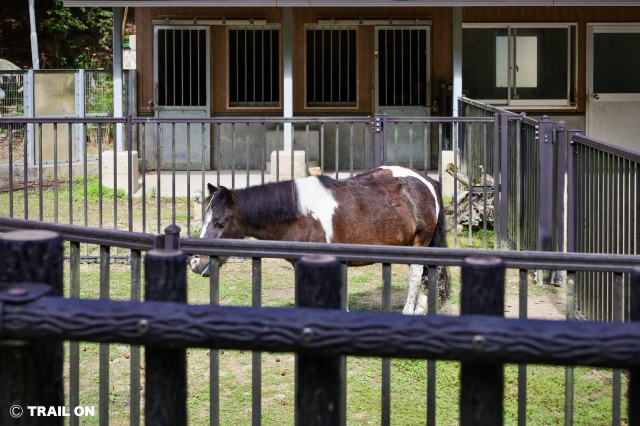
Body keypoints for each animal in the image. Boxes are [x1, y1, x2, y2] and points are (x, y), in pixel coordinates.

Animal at [189, 165, 450, 314]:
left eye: (220, 223)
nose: (195, 263)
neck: (300, 215)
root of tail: (426, 180)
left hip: (421, 242)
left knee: (416, 276)